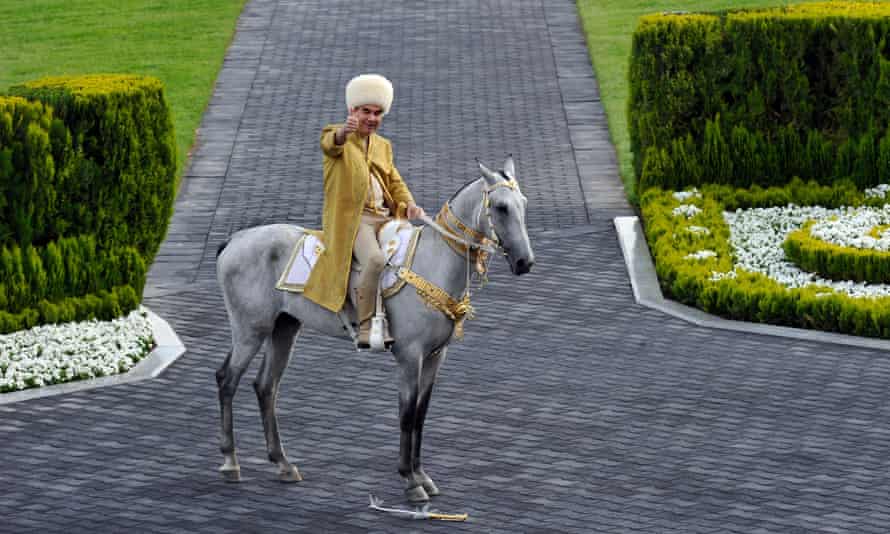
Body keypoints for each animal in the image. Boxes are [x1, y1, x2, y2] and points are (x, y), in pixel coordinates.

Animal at [215, 157, 536, 504]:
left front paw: (423, 476)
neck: (432, 263)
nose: (525, 262)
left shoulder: (435, 356)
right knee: (227, 380)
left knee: (265, 386)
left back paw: (283, 464)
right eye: (501, 207)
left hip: (283, 329)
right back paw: (230, 462)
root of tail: (234, 240)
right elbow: (407, 413)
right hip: (249, 331)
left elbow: (421, 413)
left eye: (523, 204)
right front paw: (410, 480)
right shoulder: (410, 356)